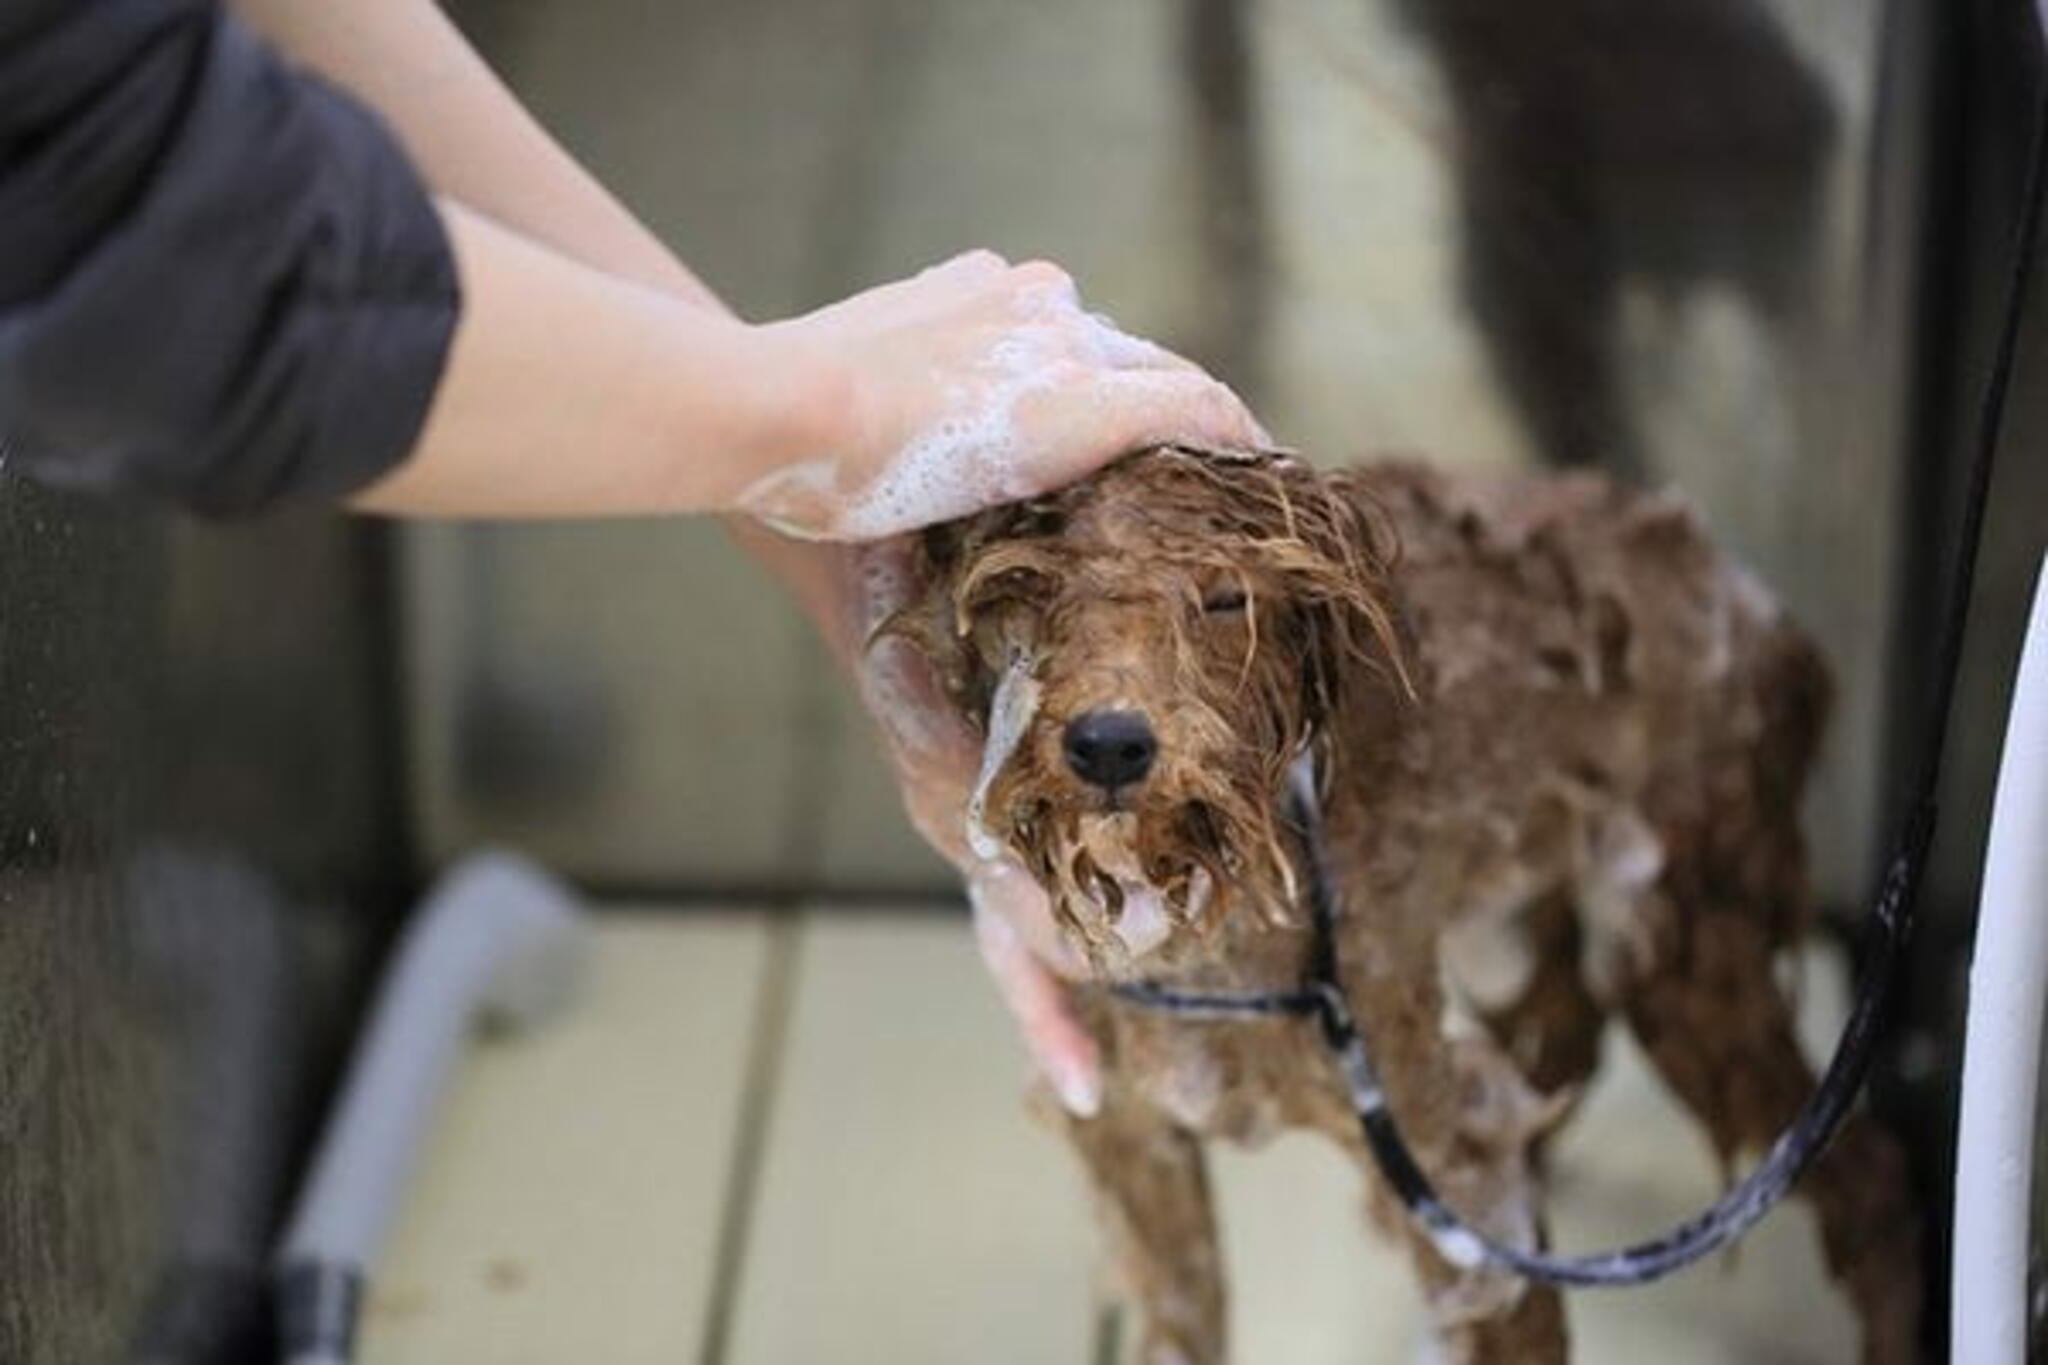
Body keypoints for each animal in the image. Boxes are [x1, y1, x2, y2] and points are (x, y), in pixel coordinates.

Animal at [880, 444, 1916, 1358]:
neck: (1212, 927)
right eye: (1024, 590)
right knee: (1564, 1024)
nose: (1107, 743)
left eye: (1225, 596)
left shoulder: (1442, 1165)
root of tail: (1754, 602)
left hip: (1681, 940)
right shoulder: (1133, 1134)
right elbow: (1180, 1316)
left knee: (1867, 1175)